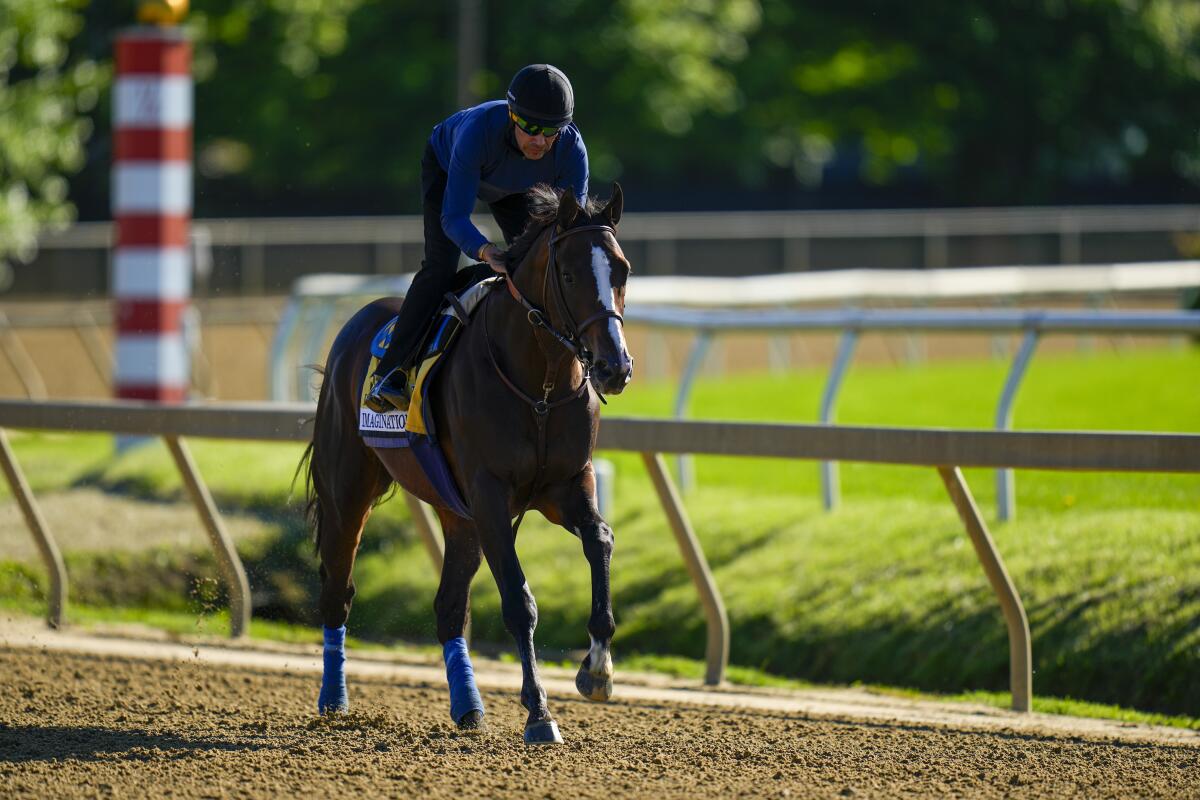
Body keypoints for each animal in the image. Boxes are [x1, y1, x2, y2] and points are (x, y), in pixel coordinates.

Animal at [300, 183, 633, 743]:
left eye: (622, 272)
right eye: (569, 275)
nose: (614, 367)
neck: (540, 387)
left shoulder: (566, 485)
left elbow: (601, 540)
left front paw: (598, 671)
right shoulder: (491, 495)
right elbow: (519, 602)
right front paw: (539, 712)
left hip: (458, 515)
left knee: (449, 607)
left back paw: (469, 706)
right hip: (348, 491)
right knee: (338, 590)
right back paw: (332, 699)